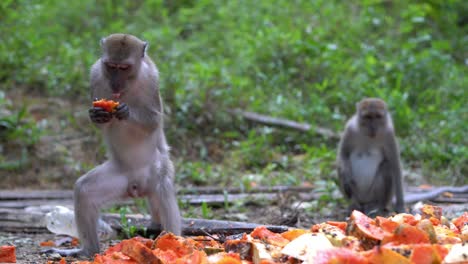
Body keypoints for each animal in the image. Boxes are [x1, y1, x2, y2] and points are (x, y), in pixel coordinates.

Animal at [46, 33, 181, 256]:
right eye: (111, 66)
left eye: (124, 68)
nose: (116, 84)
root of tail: (137, 186)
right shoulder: (95, 73)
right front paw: (97, 114)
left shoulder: (151, 77)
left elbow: (153, 119)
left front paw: (126, 112)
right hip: (120, 178)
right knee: (84, 191)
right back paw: (88, 251)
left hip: (156, 170)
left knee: (163, 188)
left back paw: (175, 242)